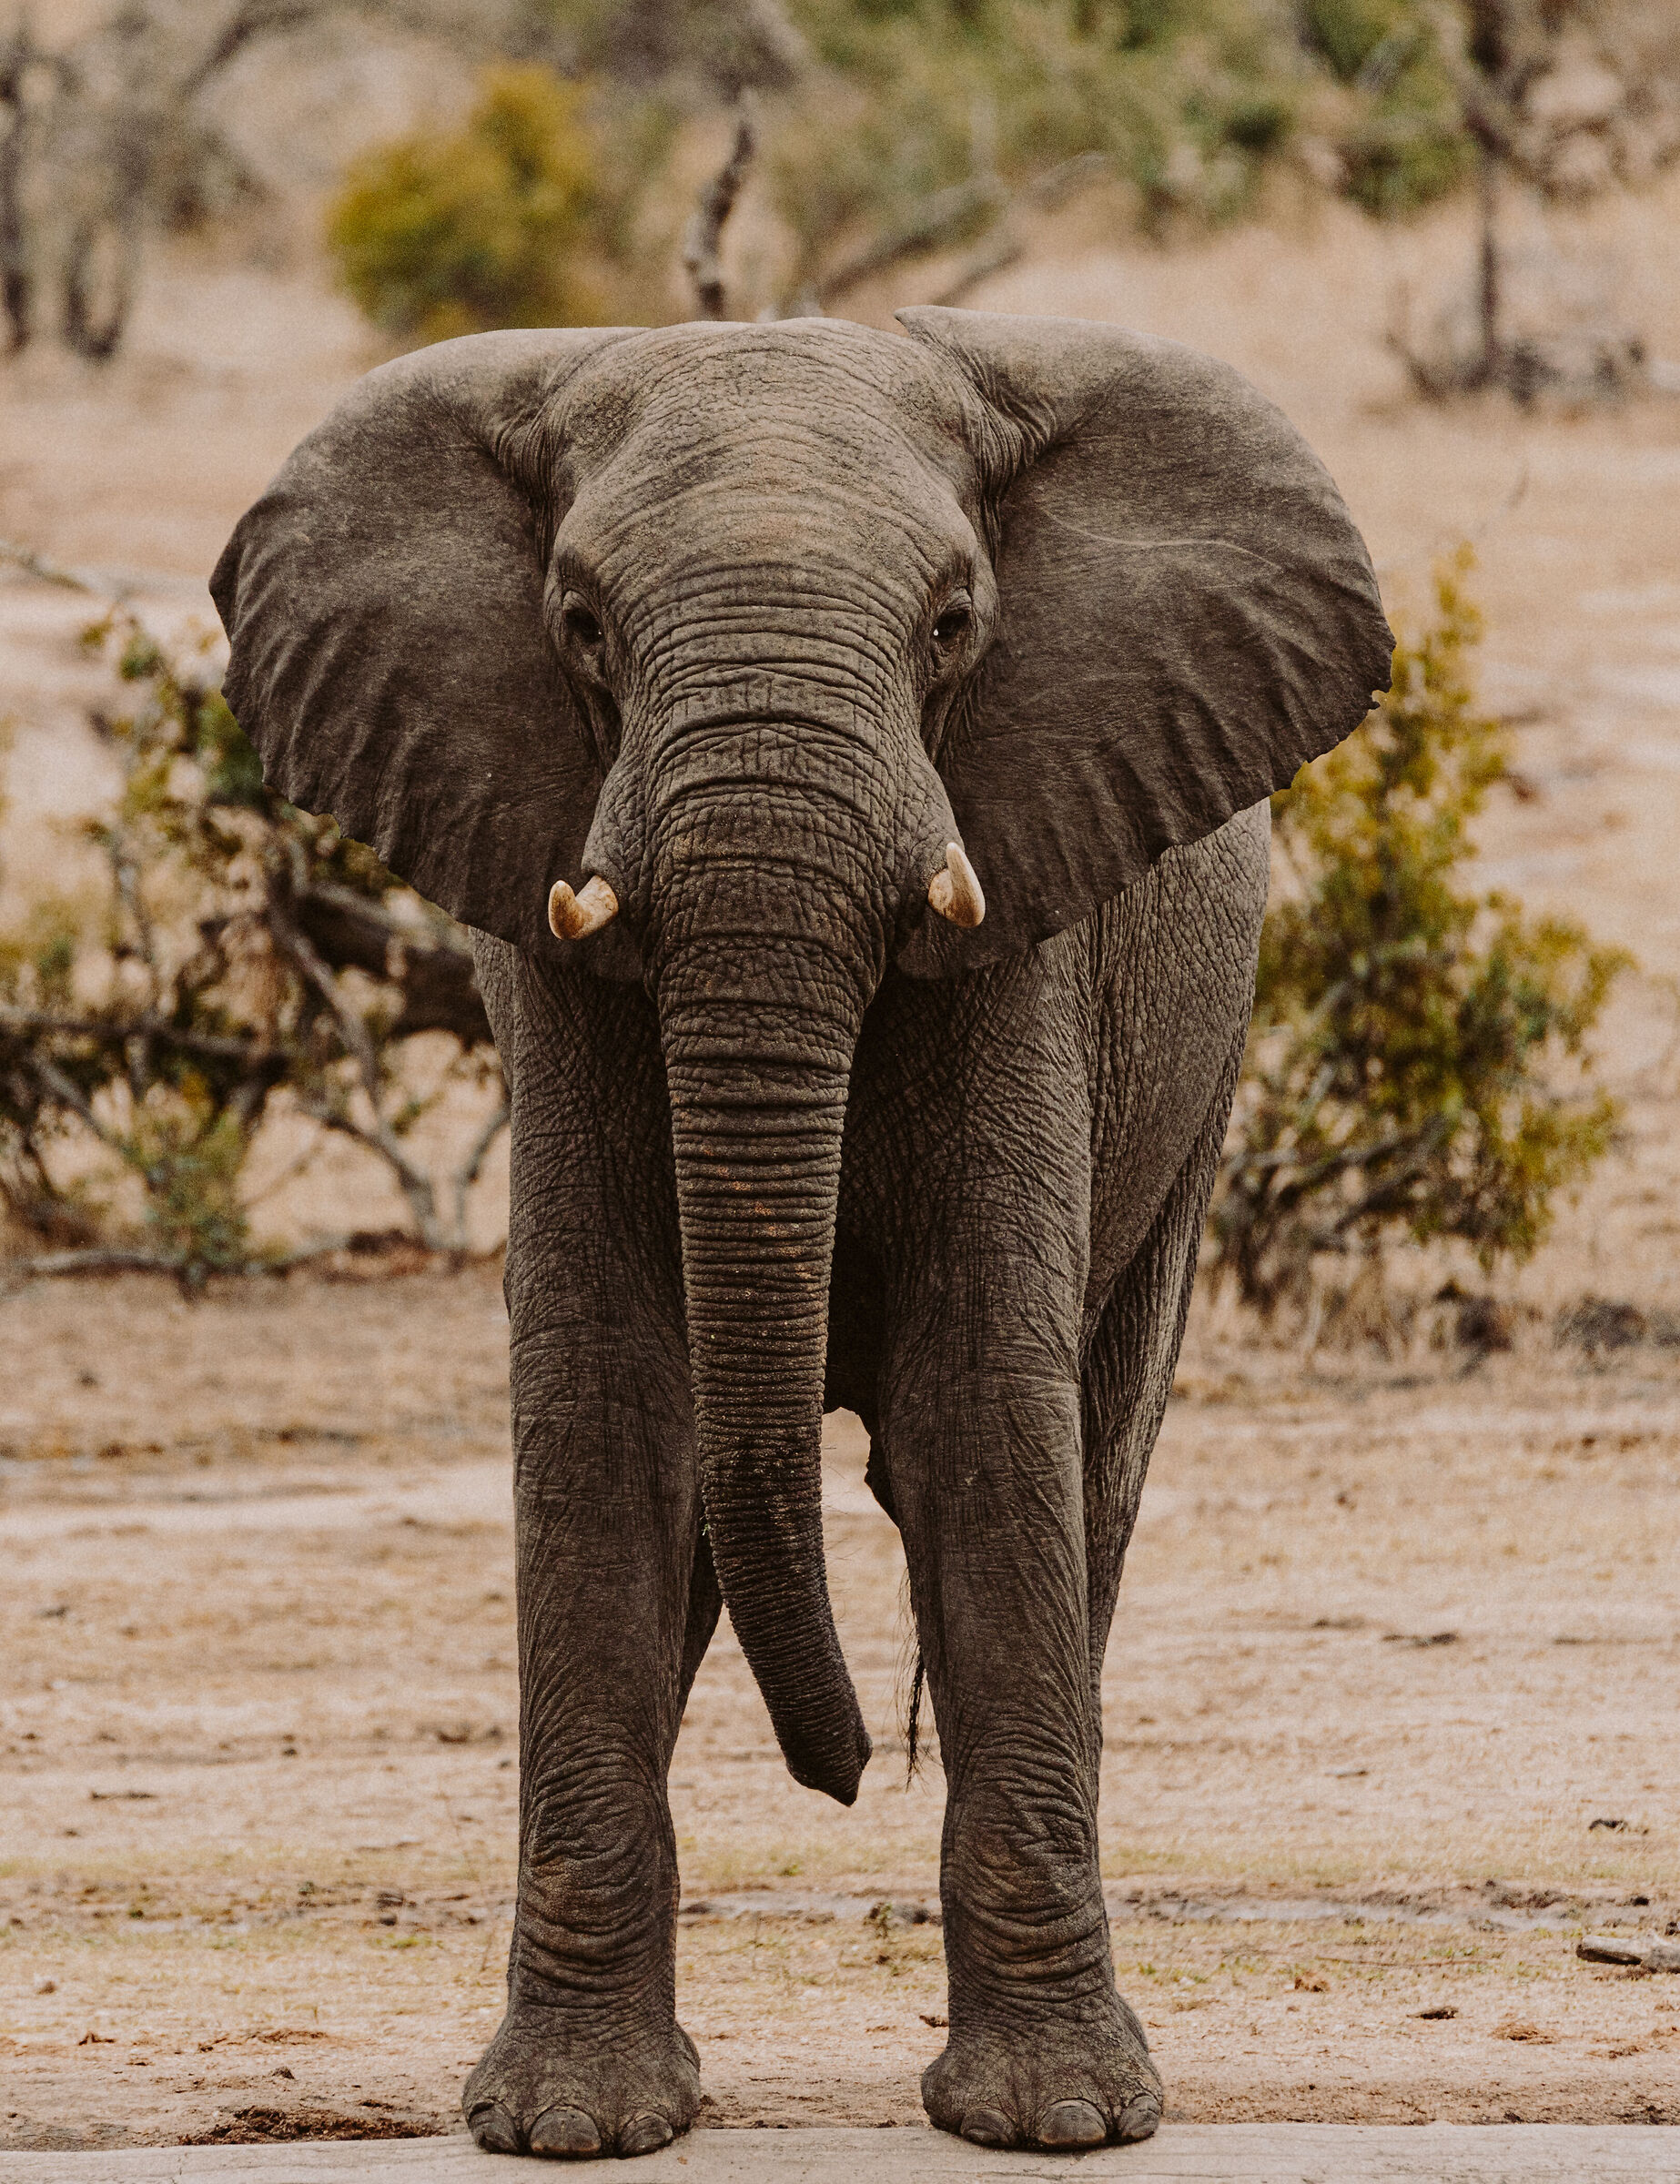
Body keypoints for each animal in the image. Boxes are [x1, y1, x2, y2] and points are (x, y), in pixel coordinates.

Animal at [211, 307, 1390, 2159]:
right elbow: (613, 1417)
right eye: (580, 628)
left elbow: (981, 1414)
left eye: (954, 624)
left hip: (1205, 1073)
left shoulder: (1028, 918)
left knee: (1095, 1459)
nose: (838, 1776)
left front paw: (1057, 2125)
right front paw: (568, 2130)